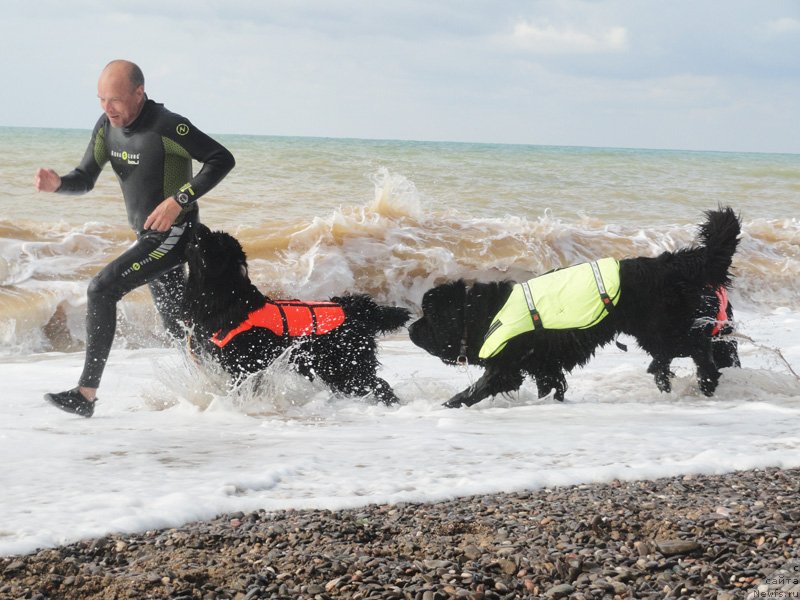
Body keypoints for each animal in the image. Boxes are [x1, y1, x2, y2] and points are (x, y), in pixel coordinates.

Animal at [179, 223, 410, 406]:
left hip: (349, 366)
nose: (197, 225)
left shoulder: (244, 365)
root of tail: (359, 309)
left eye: (216, 239)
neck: (225, 300)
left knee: (380, 385)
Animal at [410, 206, 740, 408]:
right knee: (675, 354)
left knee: (697, 349)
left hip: (663, 329)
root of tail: (672, 263)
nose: (411, 327)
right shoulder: (544, 366)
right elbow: (551, 386)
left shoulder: (507, 365)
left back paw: (706, 383)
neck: (482, 312)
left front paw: (449, 404)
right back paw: (663, 378)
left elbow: (477, 388)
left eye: (429, 316)